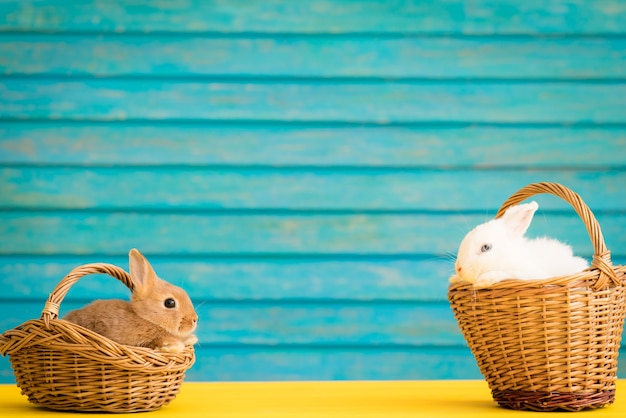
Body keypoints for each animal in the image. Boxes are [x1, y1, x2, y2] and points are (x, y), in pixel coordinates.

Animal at [450, 202, 588, 288]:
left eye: (486, 247)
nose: (459, 269)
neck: (508, 257)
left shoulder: (528, 275)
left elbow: (505, 273)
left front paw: (483, 281)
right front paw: (454, 278)